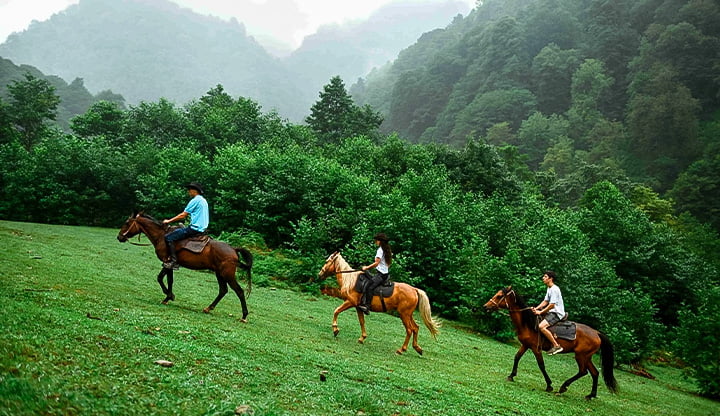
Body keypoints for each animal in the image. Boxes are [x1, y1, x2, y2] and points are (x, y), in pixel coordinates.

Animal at [117, 213, 253, 324]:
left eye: (127, 223)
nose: (119, 237)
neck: (162, 236)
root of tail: (234, 250)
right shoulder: (169, 264)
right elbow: (170, 280)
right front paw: (168, 297)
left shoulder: (167, 262)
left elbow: (160, 278)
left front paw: (169, 296)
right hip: (219, 273)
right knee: (223, 290)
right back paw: (208, 308)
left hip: (227, 274)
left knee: (239, 291)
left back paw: (244, 316)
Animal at [480, 286, 616, 400]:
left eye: (499, 296)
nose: (485, 306)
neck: (528, 324)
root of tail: (596, 333)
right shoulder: (525, 345)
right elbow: (517, 357)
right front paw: (511, 375)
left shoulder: (536, 348)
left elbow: (541, 365)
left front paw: (549, 385)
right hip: (587, 357)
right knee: (595, 373)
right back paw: (590, 395)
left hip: (581, 355)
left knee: (583, 371)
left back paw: (563, 387)